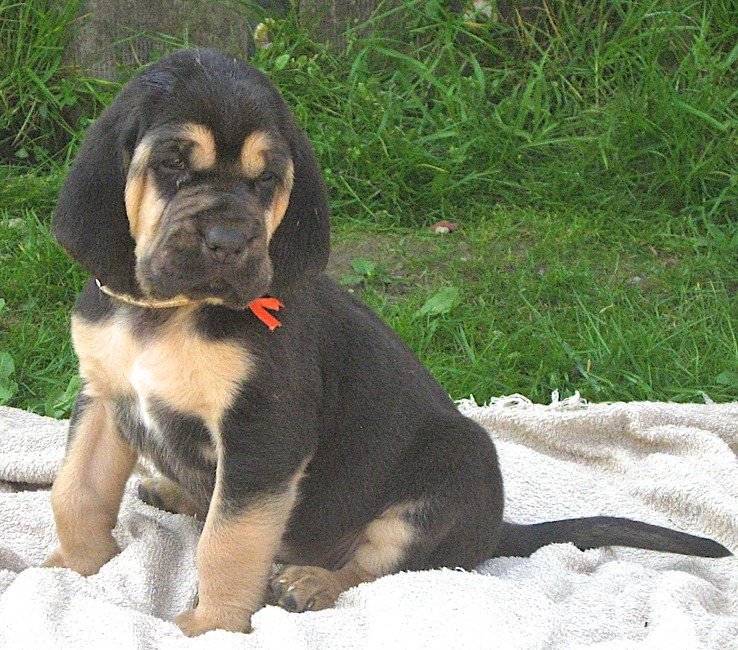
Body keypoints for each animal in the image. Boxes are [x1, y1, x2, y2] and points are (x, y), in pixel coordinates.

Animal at [45, 49, 731, 636]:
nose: (230, 242)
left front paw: (210, 624)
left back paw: (312, 581)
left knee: (384, 568)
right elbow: (74, 491)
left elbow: (229, 542)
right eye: (173, 165)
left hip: (452, 469)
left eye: (266, 181)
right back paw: (175, 492)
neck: (170, 313)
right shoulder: (104, 400)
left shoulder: (263, 434)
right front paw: (71, 568)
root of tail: (495, 531)